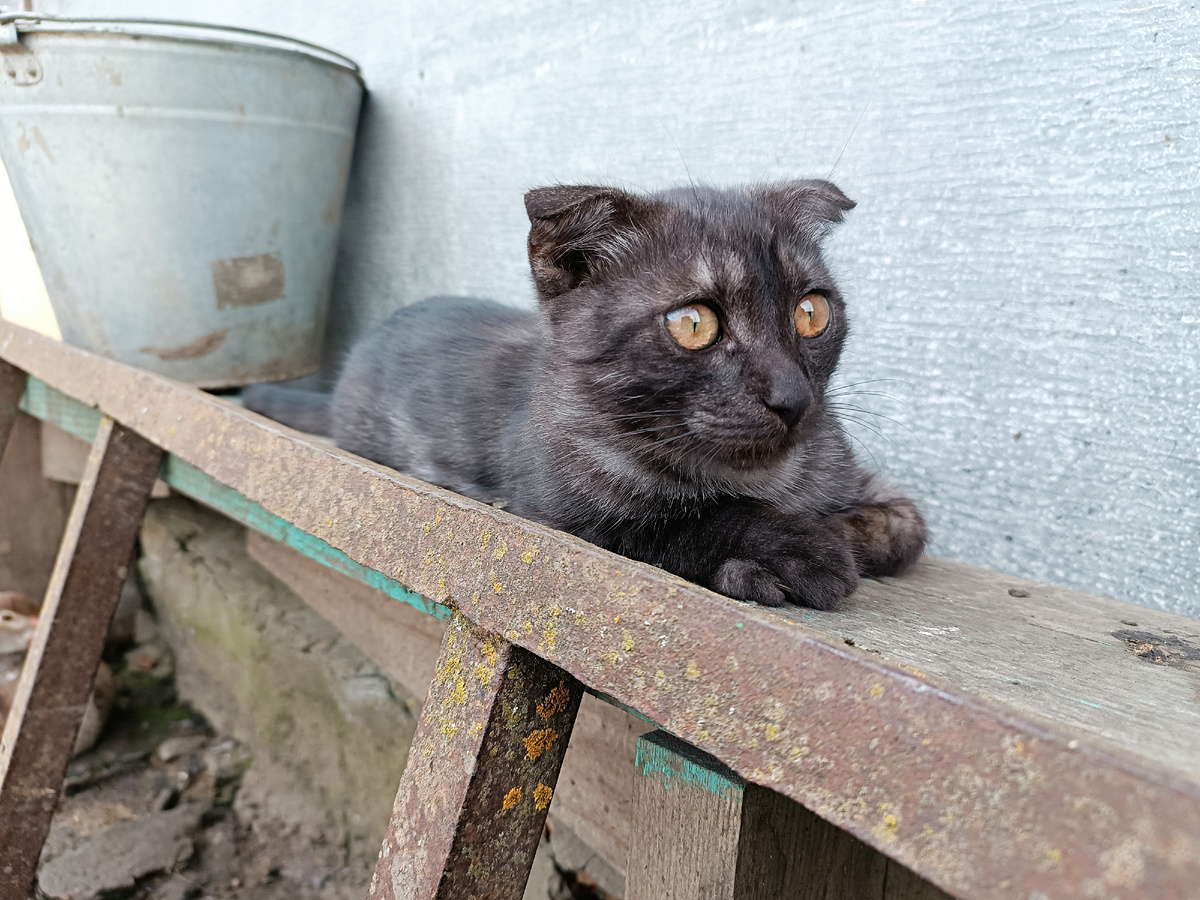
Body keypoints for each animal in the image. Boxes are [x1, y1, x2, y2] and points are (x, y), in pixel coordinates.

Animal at [246, 180, 926, 609]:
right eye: (694, 323)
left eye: (812, 312)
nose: (792, 398)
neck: (766, 482)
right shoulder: (564, 518)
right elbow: (678, 526)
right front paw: (791, 552)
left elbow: (905, 528)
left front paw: (839, 532)